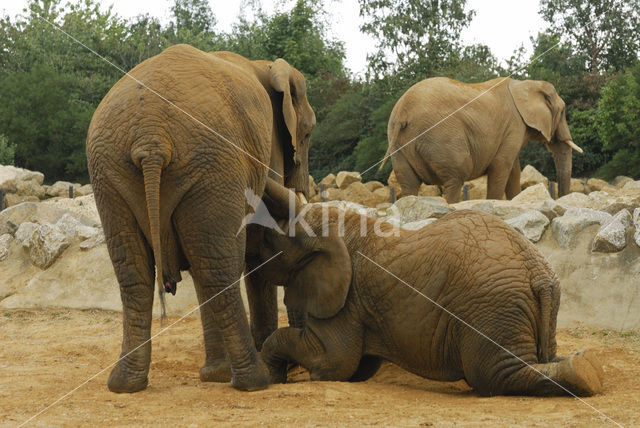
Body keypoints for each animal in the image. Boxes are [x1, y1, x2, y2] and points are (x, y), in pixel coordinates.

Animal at [85, 45, 316, 392]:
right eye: (309, 133)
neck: (265, 66)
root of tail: (150, 138)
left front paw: (216, 375)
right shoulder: (270, 146)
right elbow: (257, 247)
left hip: (111, 173)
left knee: (137, 275)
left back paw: (126, 384)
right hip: (212, 164)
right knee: (218, 271)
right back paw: (256, 379)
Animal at [252, 179, 604, 396]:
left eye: (268, 240)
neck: (337, 221)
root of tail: (537, 272)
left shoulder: (344, 301)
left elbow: (332, 362)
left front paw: (271, 376)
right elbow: (355, 366)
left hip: (492, 306)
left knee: (495, 375)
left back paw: (584, 370)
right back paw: (585, 366)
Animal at [380, 76, 584, 202]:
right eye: (563, 112)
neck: (525, 84)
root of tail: (402, 112)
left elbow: (514, 170)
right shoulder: (514, 125)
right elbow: (502, 166)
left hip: (398, 142)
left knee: (408, 184)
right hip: (441, 137)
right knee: (455, 178)